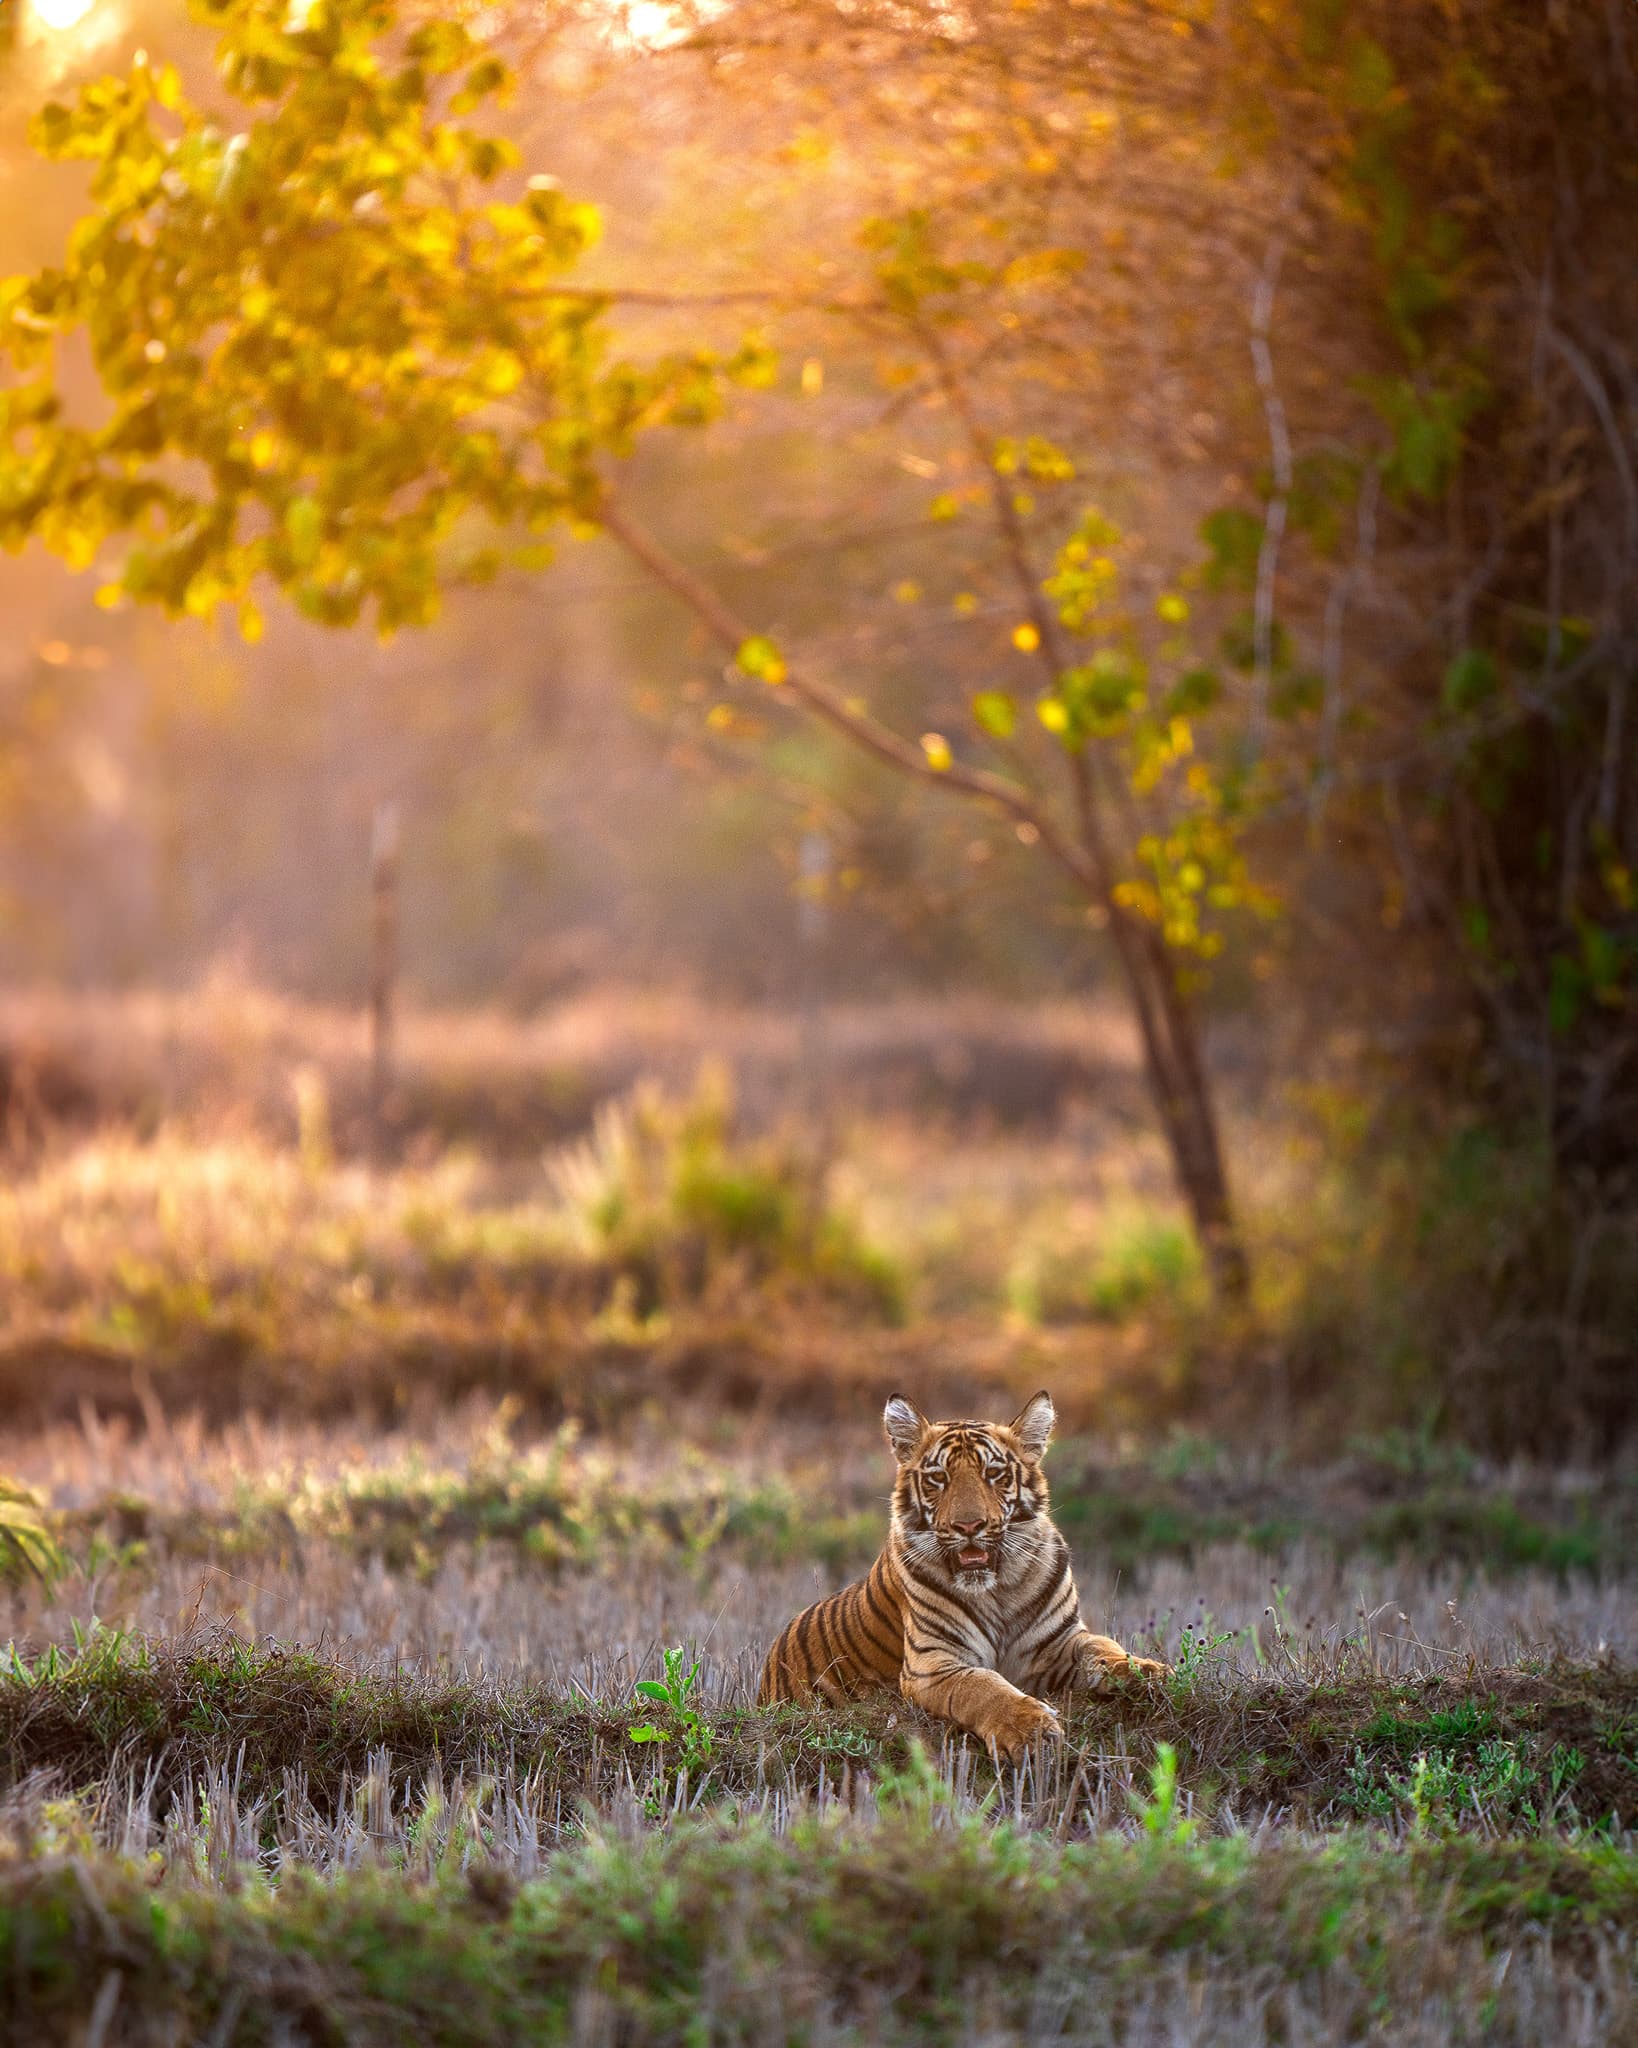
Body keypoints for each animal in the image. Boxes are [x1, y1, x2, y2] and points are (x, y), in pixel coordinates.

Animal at [758, 1390, 1168, 1761]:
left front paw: (1150, 1673)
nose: (969, 1526)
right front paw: (1031, 1731)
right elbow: (982, 1687)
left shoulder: (1060, 1641)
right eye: (938, 1477)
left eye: (994, 1473)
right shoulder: (933, 1662)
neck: (1000, 1588)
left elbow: (1103, 1648)